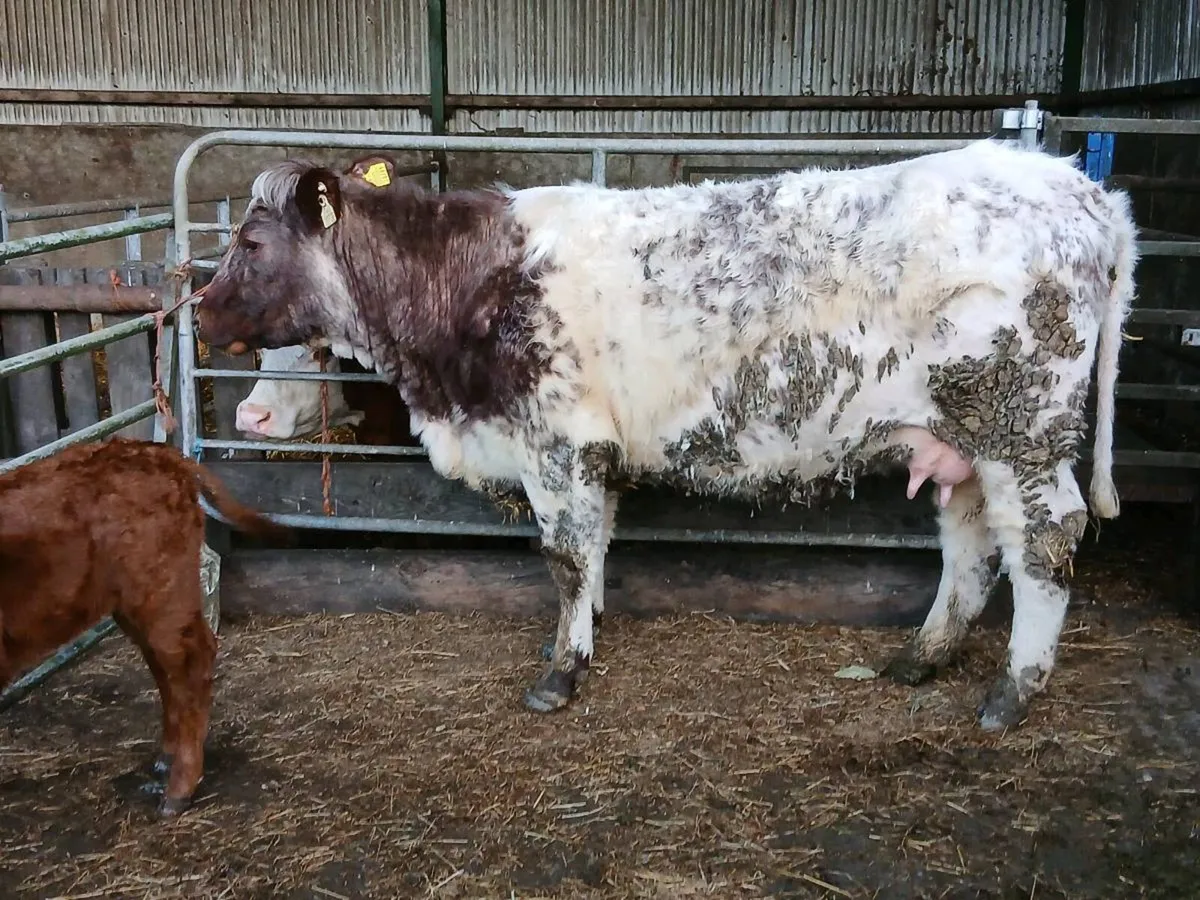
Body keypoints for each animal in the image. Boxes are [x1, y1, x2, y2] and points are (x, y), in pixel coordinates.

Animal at [0, 439, 287, 816]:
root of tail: (158, 452)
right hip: (135, 605)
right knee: (167, 667)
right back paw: (167, 757)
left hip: (161, 595)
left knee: (191, 663)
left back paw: (179, 790)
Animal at [195, 142, 1136, 731]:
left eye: (252, 242)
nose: (198, 312)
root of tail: (1082, 190)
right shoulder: (584, 453)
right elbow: (596, 550)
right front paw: (582, 636)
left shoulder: (557, 445)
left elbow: (566, 558)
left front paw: (561, 673)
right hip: (966, 440)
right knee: (972, 546)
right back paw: (923, 657)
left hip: (1024, 429)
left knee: (1044, 544)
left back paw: (1012, 693)